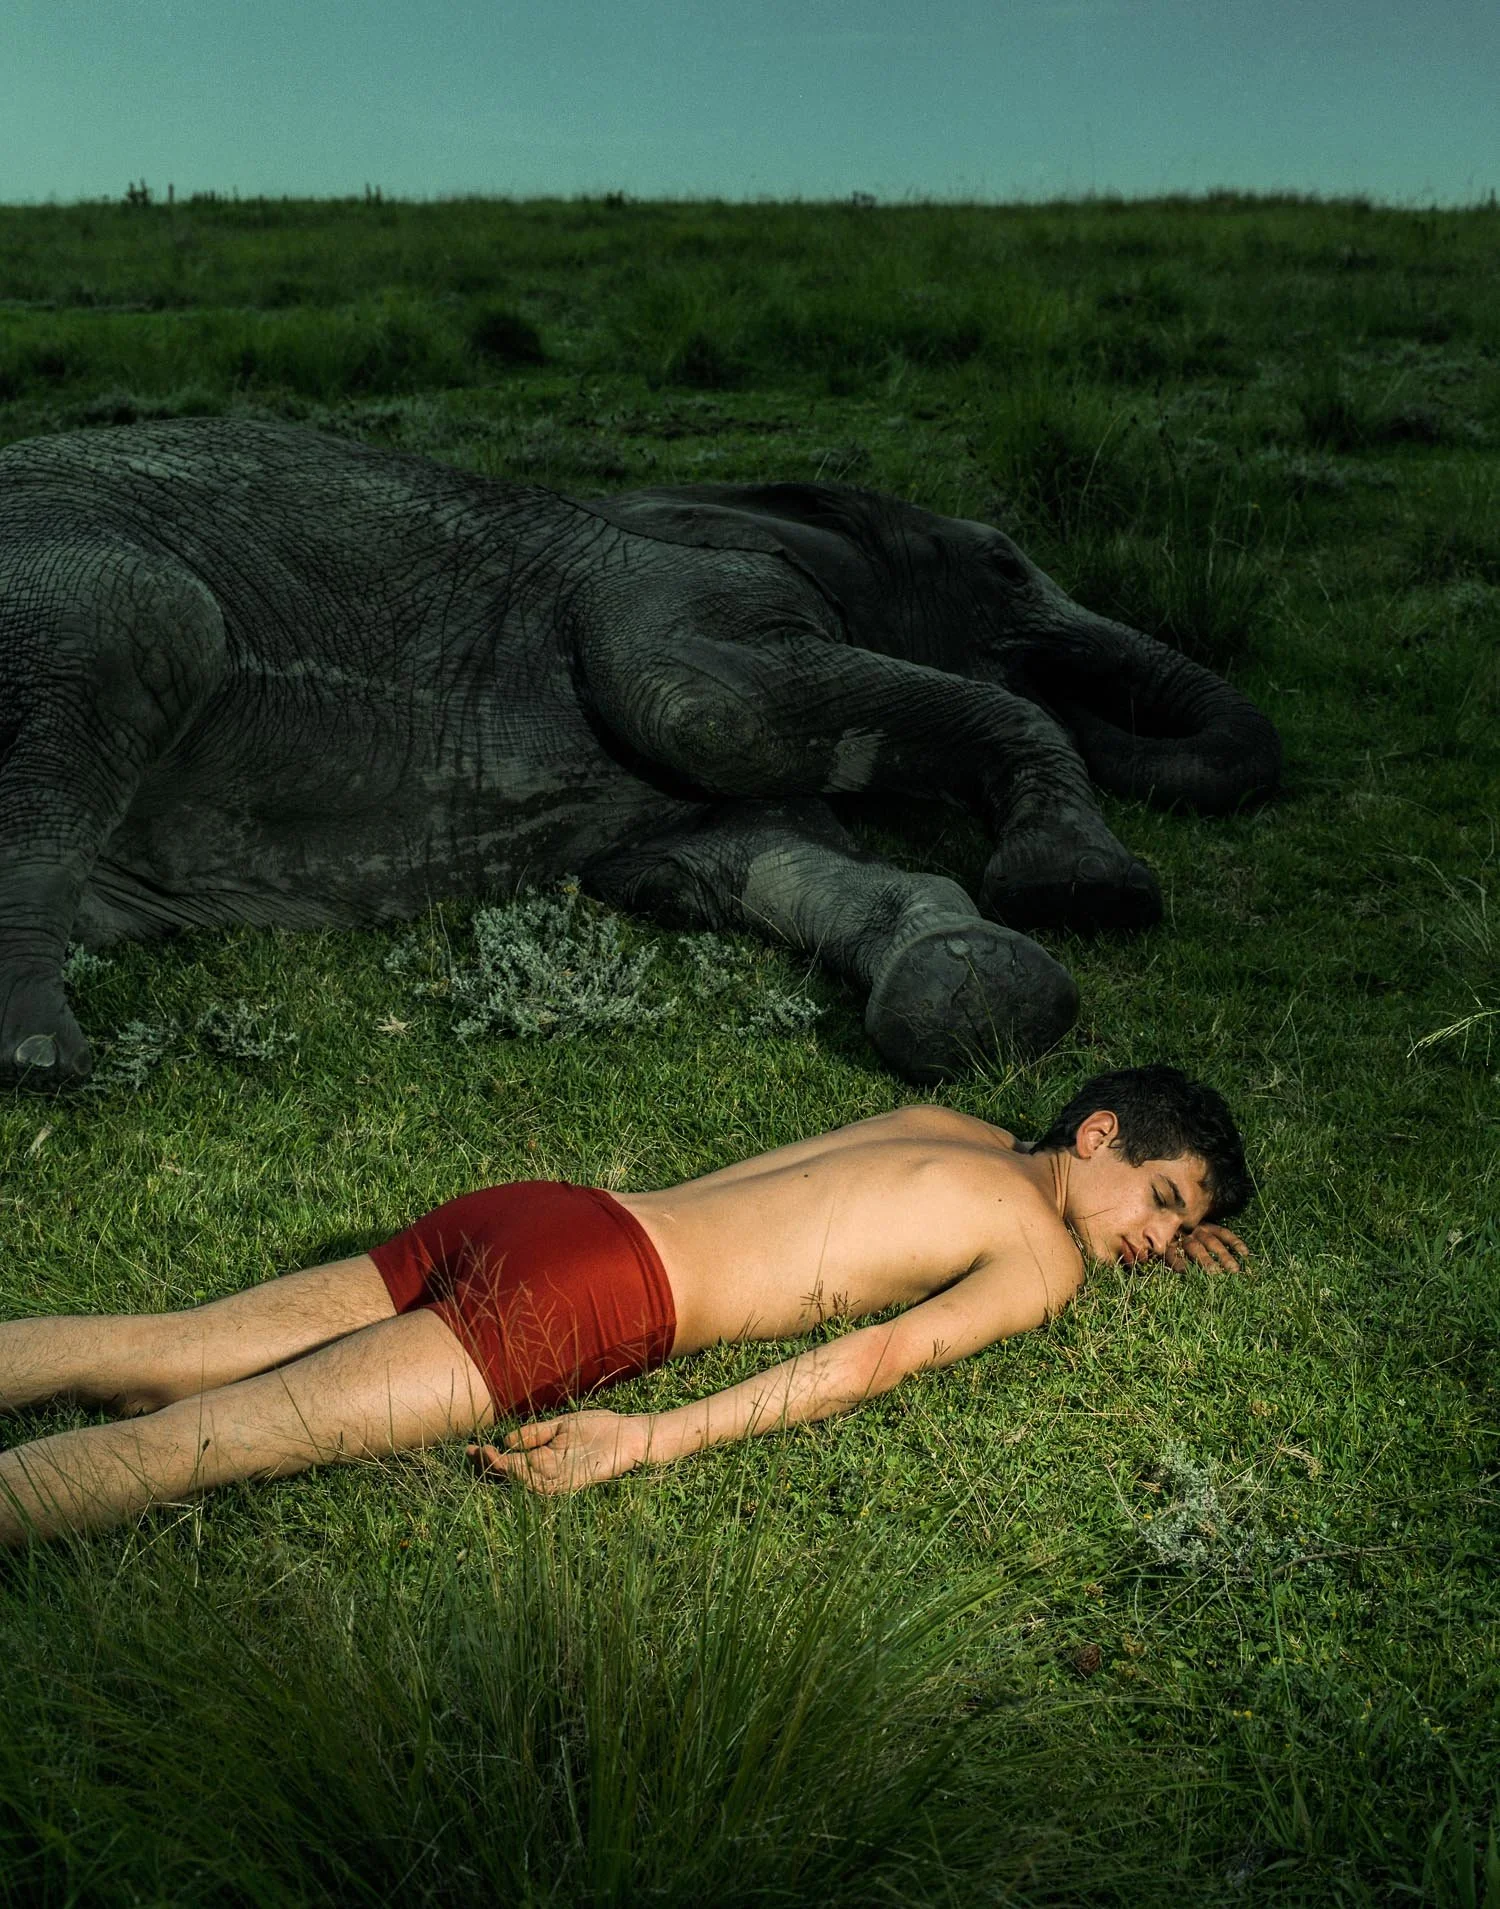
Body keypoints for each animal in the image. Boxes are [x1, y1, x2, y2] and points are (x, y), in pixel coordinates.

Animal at [0, 419, 1279, 1092]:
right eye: (1006, 564)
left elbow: (752, 861)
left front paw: (971, 986)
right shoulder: (673, 599)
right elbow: (714, 712)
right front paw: (1086, 891)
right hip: (77, 587)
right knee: (139, 635)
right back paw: (47, 1061)